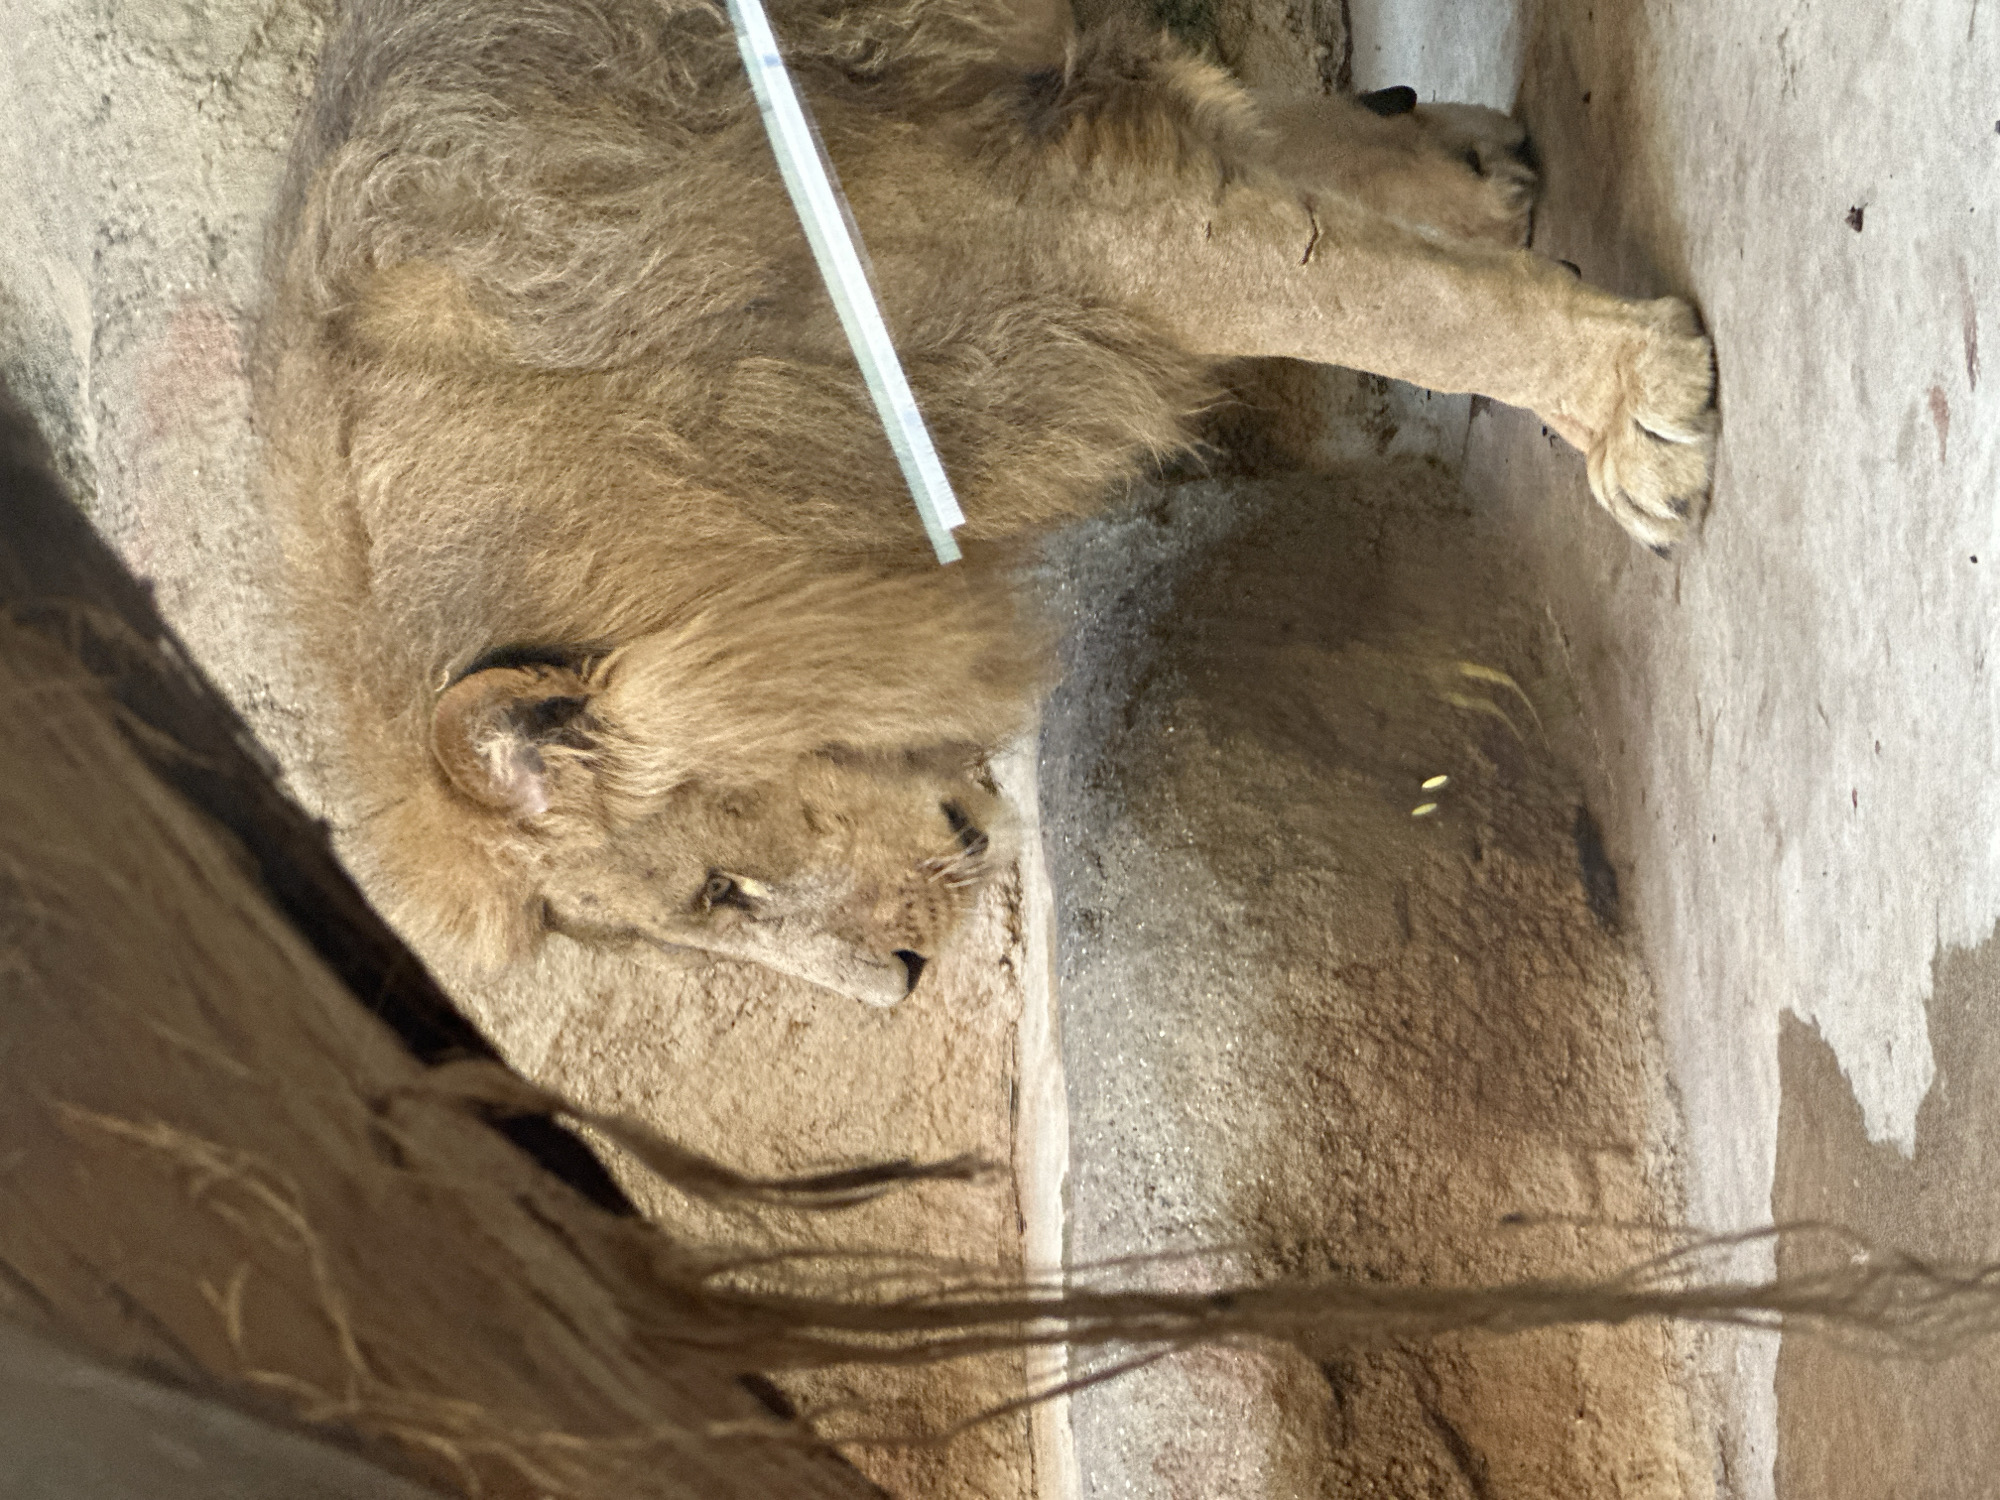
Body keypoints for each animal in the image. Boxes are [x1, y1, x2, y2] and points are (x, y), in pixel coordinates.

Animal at [261, 0, 1715, 1005]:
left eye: (720, 894)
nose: (899, 990)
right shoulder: (1071, 143)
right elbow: (1312, 185)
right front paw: (1474, 187)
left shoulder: (1067, 235)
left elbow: (1396, 312)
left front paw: (1628, 407)